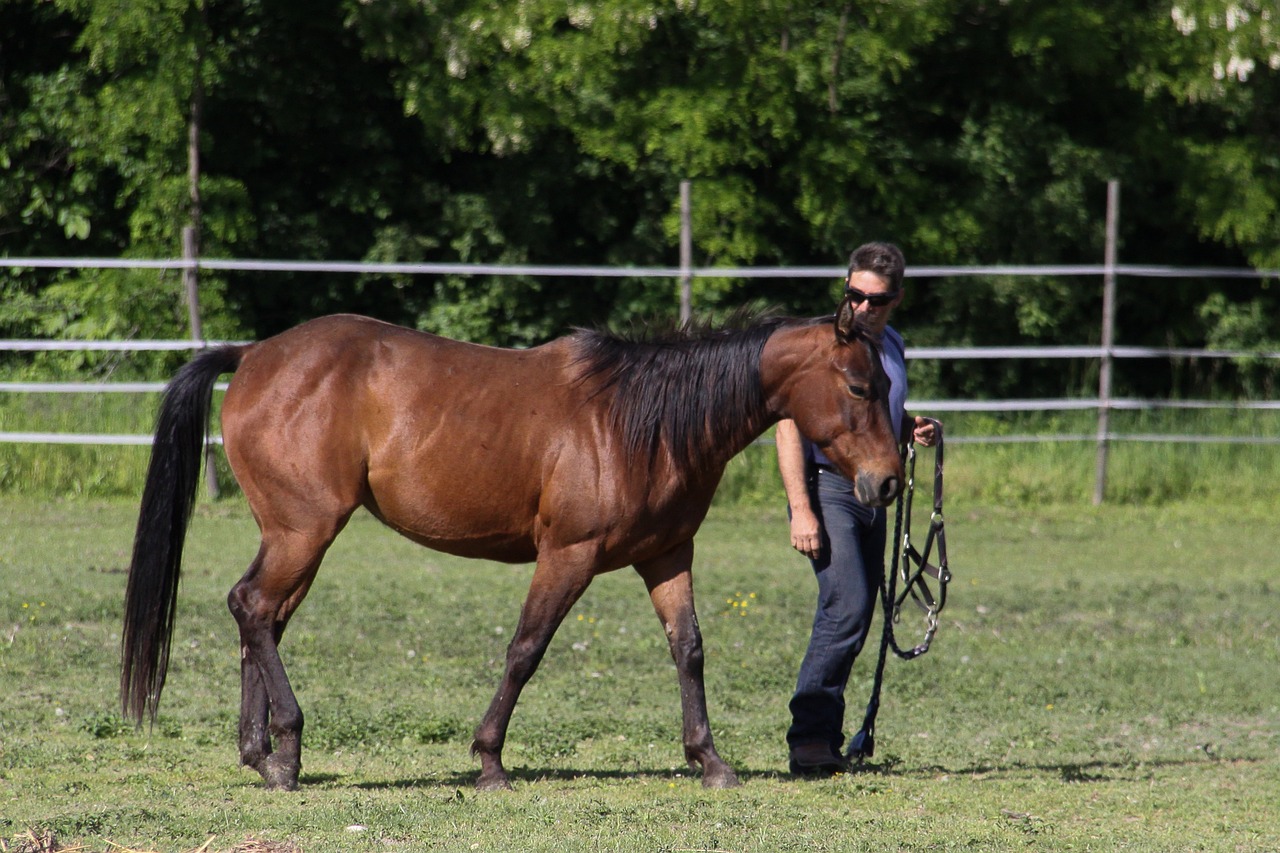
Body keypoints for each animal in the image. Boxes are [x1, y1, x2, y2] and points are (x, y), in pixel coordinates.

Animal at [120, 291, 903, 792]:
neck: (638, 420)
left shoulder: (666, 554)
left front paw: (709, 761)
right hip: (304, 531)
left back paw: (265, 756)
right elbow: (527, 649)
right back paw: (283, 749)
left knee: (260, 618)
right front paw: (490, 761)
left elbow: (689, 650)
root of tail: (254, 354)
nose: (890, 482)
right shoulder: (569, 555)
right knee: (254, 608)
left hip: (294, 536)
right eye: (859, 386)